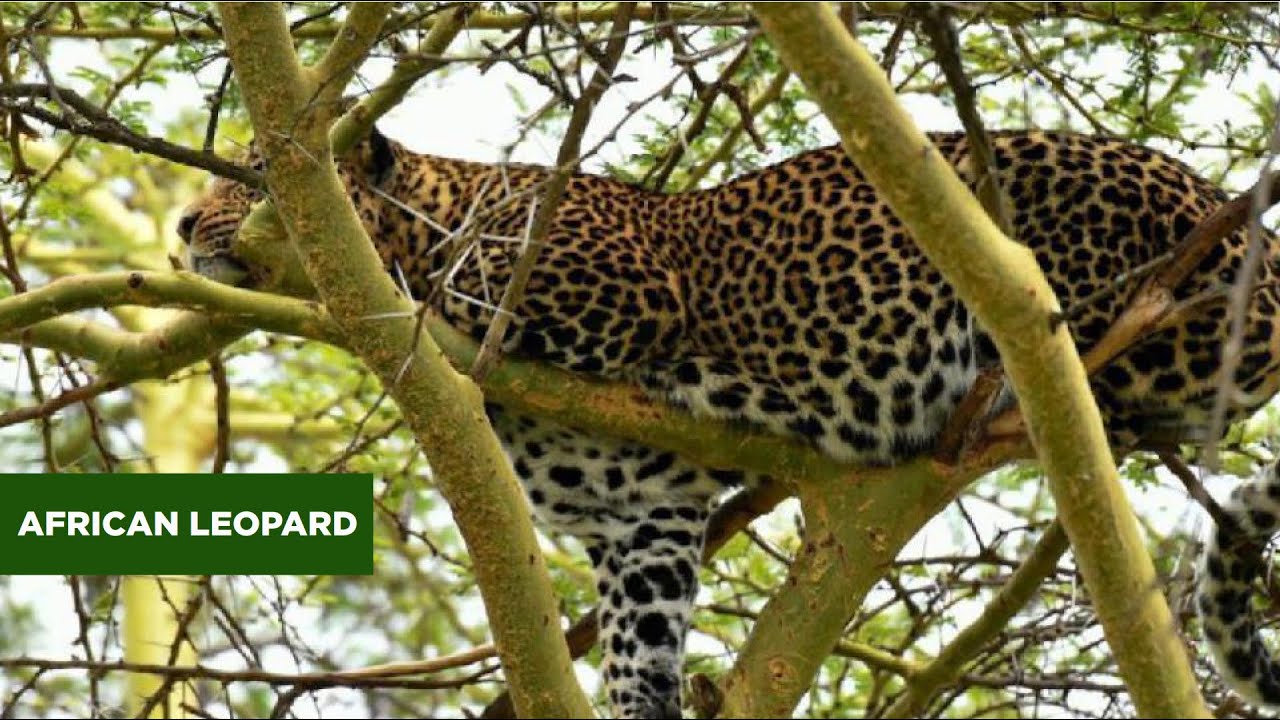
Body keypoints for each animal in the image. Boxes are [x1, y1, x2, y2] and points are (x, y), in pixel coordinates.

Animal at [180, 122, 1280, 717]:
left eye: (252, 175)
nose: (184, 224)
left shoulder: (617, 288)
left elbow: (457, 291)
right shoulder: (642, 513)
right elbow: (639, 640)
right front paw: (644, 703)